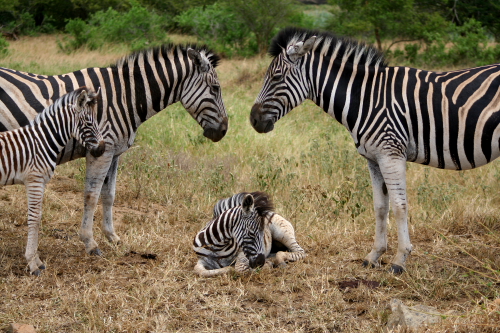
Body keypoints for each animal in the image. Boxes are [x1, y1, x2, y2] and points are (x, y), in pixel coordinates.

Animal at [0, 44, 229, 255]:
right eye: (215, 88)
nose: (223, 131)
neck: (127, 97)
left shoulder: (114, 152)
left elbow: (109, 195)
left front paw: (112, 237)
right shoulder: (101, 150)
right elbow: (91, 196)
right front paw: (90, 242)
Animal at [0, 86, 104, 274]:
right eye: (88, 124)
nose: (102, 149)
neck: (42, 141)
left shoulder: (38, 182)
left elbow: (36, 217)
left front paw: (35, 260)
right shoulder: (35, 180)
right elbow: (34, 219)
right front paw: (33, 262)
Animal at [252, 27, 500, 272]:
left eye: (276, 77)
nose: (253, 120)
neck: (366, 98)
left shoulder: (391, 154)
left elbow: (399, 207)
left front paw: (400, 259)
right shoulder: (374, 158)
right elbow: (380, 207)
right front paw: (374, 256)